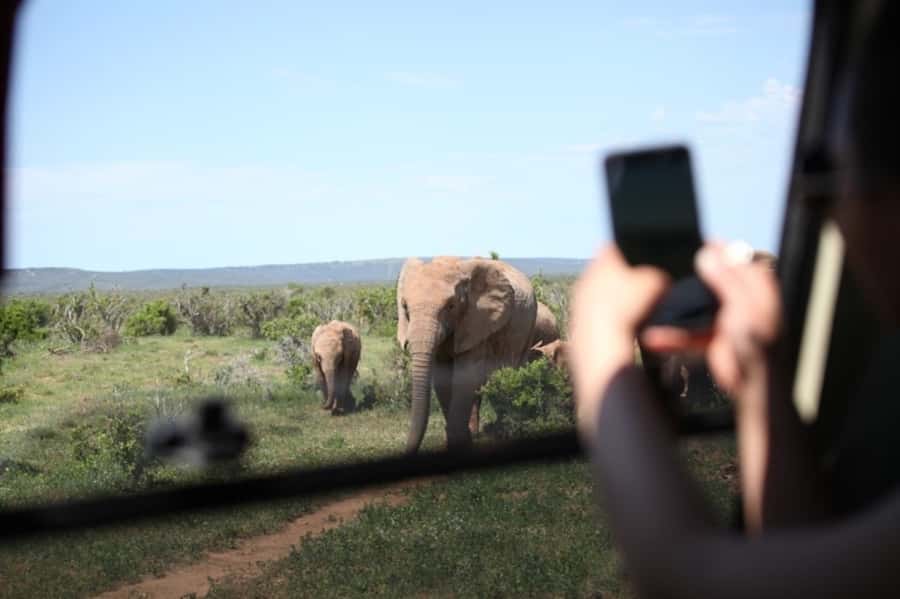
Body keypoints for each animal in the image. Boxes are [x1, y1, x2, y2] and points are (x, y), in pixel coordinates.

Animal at [397, 256, 537, 452]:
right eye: (405, 307)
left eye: (451, 306)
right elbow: (443, 378)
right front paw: (460, 443)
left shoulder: (477, 321)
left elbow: (466, 375)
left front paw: (460, 446)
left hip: (528, 327)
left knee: (510, 373)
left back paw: (504, 431)